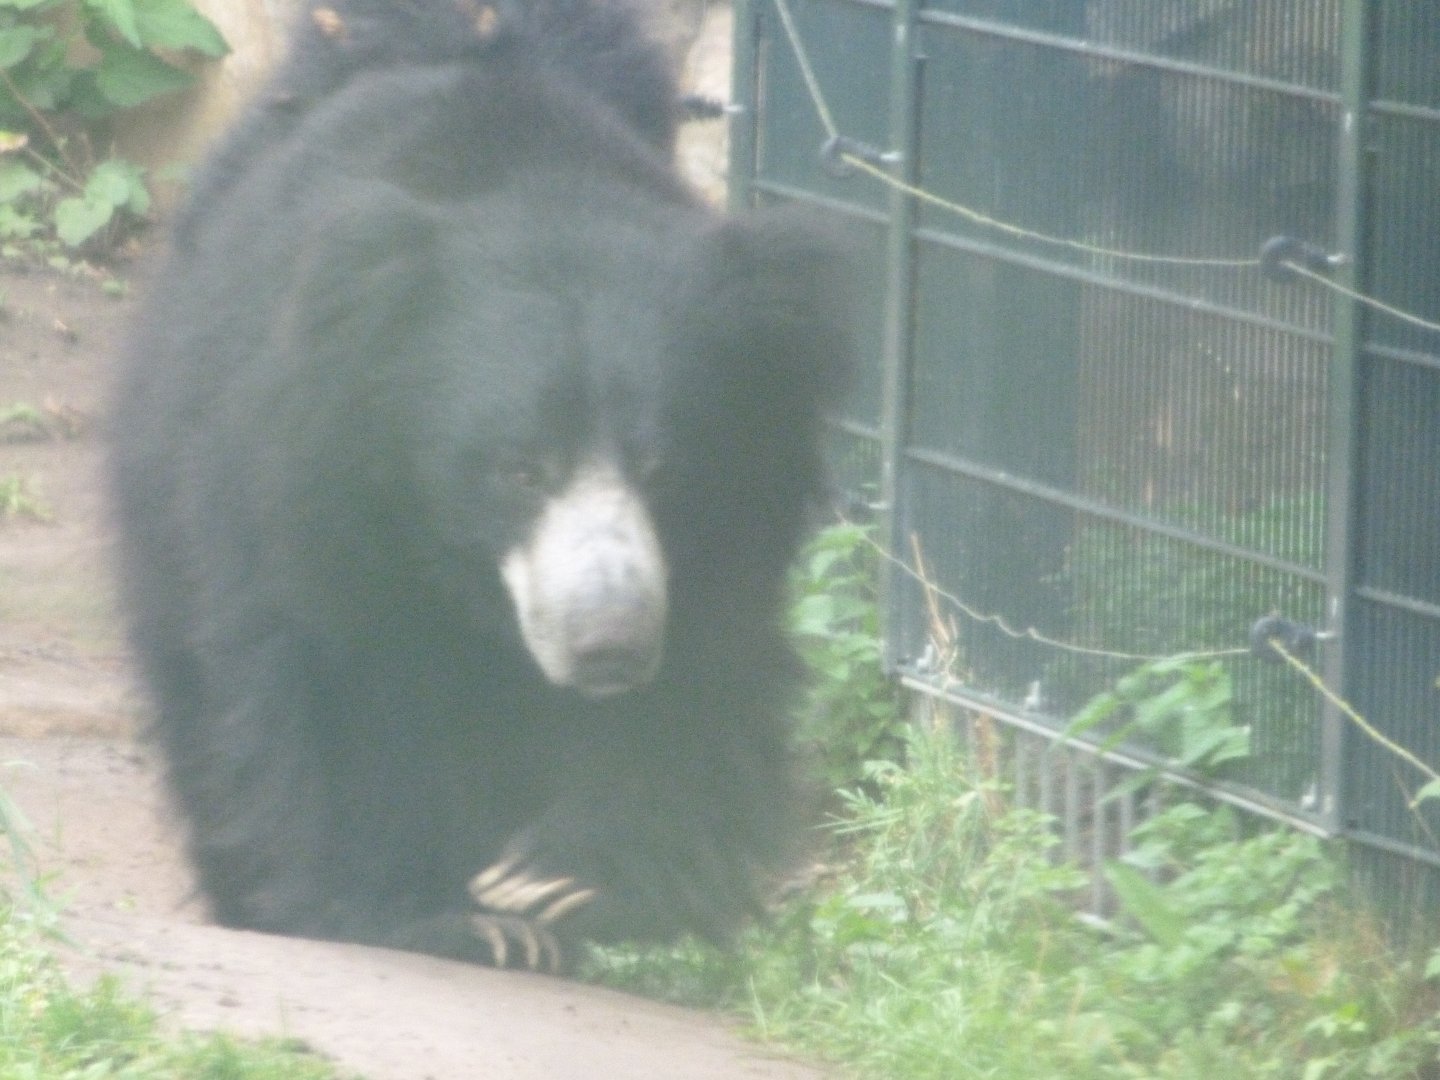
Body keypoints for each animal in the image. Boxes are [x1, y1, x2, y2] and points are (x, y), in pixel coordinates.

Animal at [107, 0, 853, 971]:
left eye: (665, 466)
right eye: (518, 466)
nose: (607, 645)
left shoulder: (724, 543)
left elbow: (700, 684)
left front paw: (558, 878)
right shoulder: (313, 488)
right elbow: (339, 675)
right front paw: (440, 916)